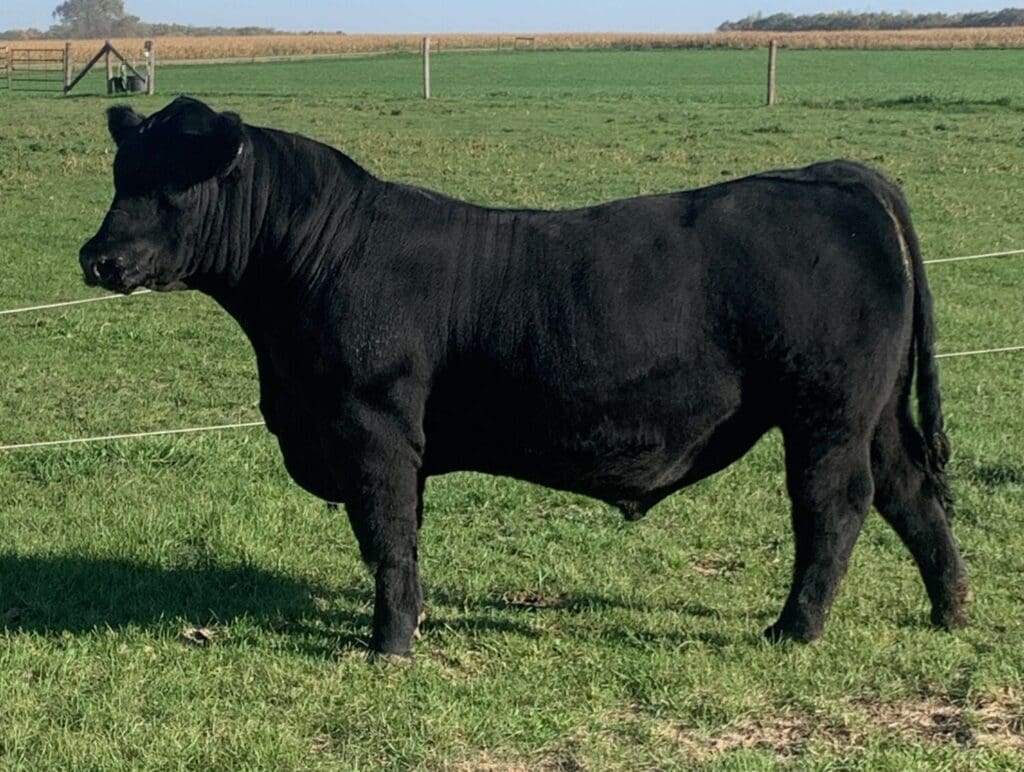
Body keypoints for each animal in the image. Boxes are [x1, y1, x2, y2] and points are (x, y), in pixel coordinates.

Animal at [80, 96, 970, 656]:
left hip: (826, 411)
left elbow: (387, 535)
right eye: (122, 176)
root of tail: (831, 172)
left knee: (834, 504)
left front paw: (388, 644)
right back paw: (952, 609)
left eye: (176, 183)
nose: (98, 257)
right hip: (872, 413)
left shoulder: (374, 429)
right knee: (909, 492)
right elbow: (398, 538)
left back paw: (795, 628)